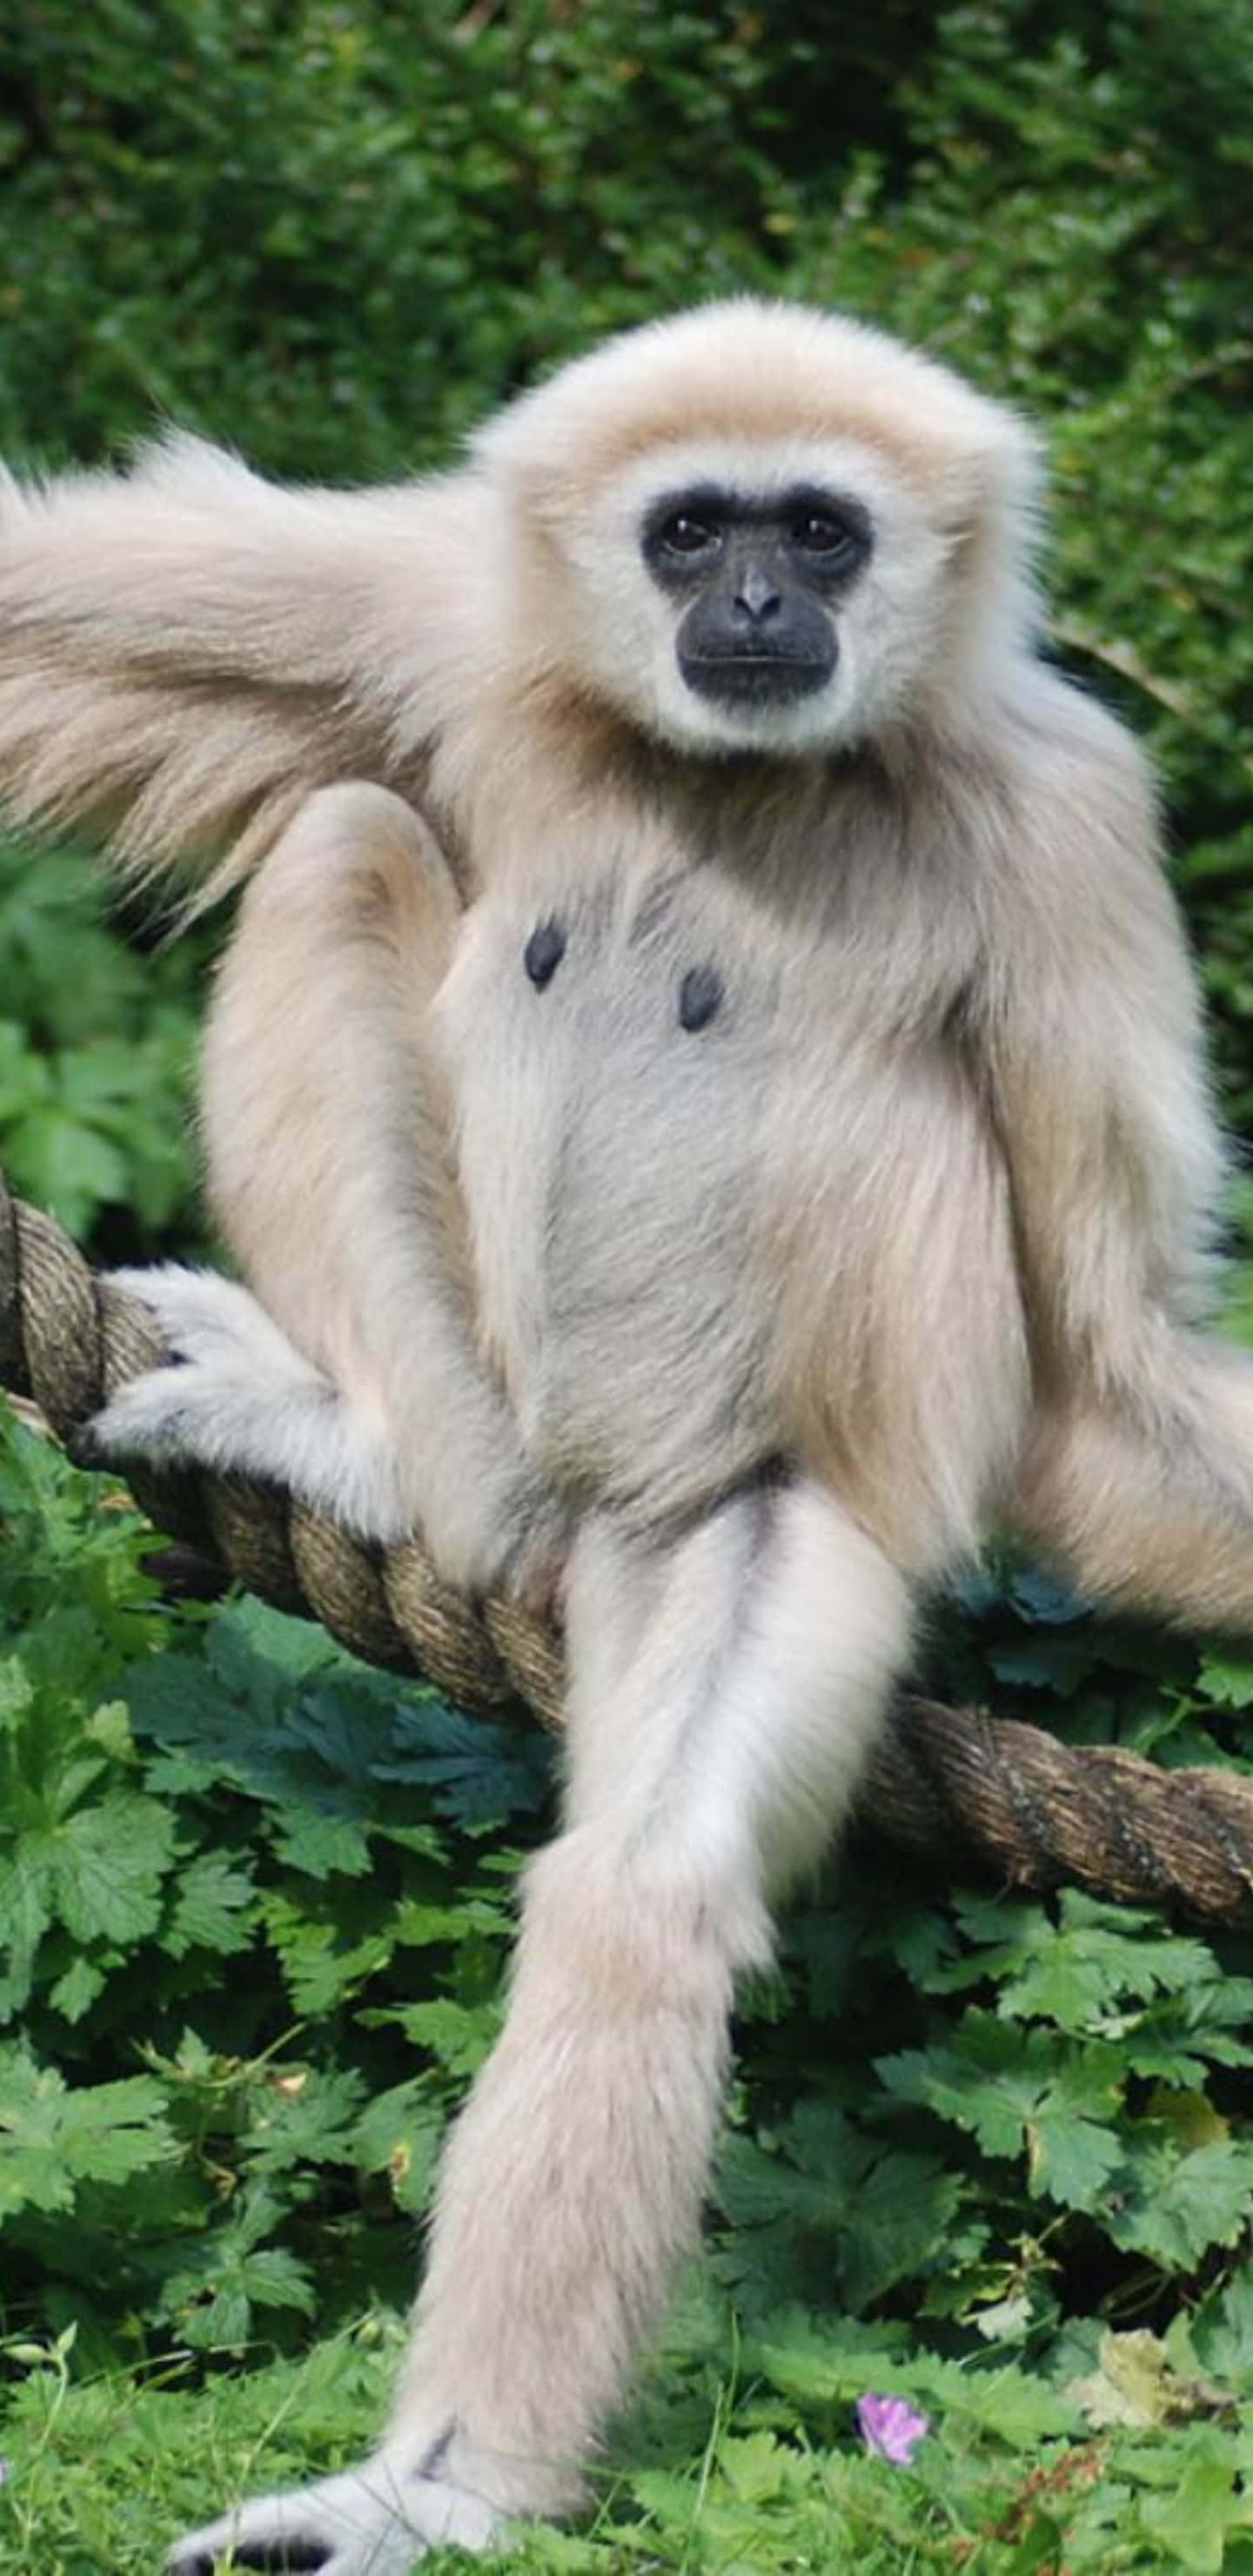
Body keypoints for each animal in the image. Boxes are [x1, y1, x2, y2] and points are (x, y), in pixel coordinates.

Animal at [1, 299, 1252, 2574]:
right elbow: (52, 631)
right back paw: (379, 1453)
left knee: (639, 1891)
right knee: (342, 839)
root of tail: (568, 1516)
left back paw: (435, 2485)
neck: (737, 776)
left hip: (756, 1510)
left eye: (816, 533)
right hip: (488, 1381)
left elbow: (1106, 1353)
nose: (750, 601)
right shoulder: (446, 624)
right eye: (689, 530)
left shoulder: (1068, 820)